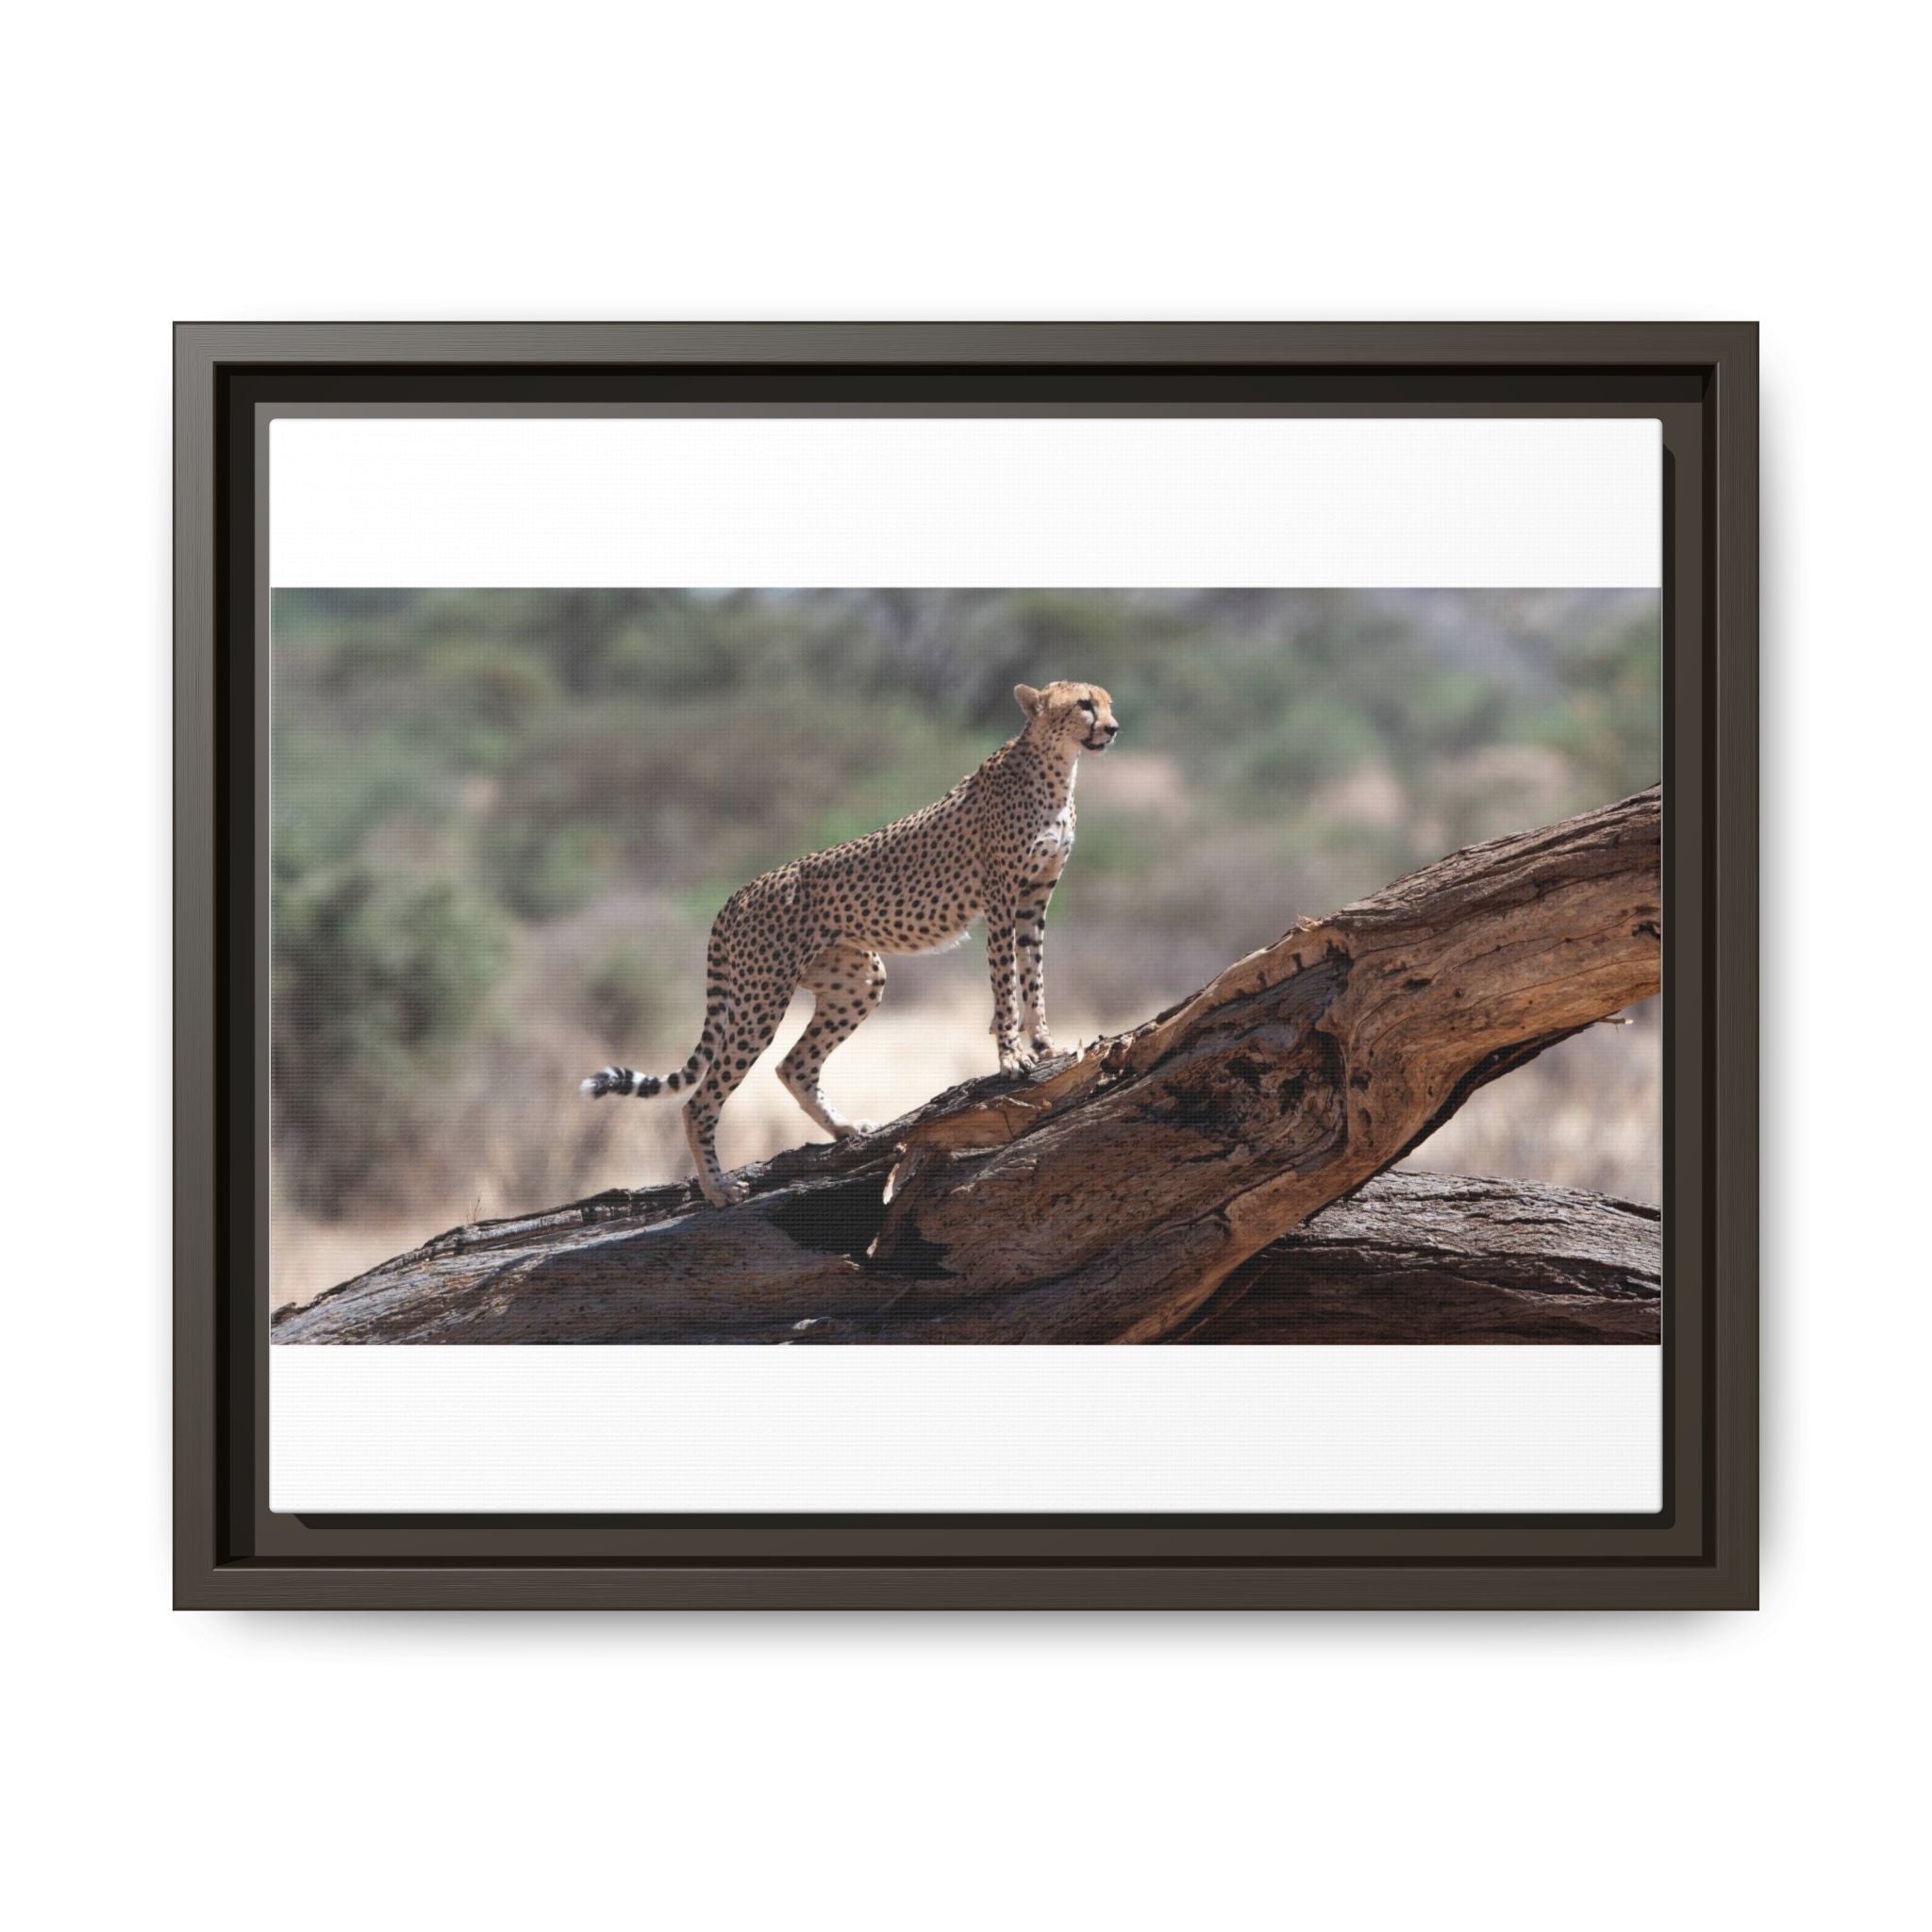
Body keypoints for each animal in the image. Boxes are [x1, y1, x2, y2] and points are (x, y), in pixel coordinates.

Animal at [581, 679, 1120, 1205]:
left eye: (1107, 702)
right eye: (1084, 705)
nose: (1113, 728)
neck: (1057, 767)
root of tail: (739, 893)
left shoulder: (1034, 900)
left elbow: (1033, 975)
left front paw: (1045, 1043)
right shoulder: (1002, 900)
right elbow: (1005, 983)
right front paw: (1011, 1057)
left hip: (858, 979)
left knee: (793, 1065)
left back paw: (844, 1129)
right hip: (761, 997)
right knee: (701, 1099)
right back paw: (718, 1189)